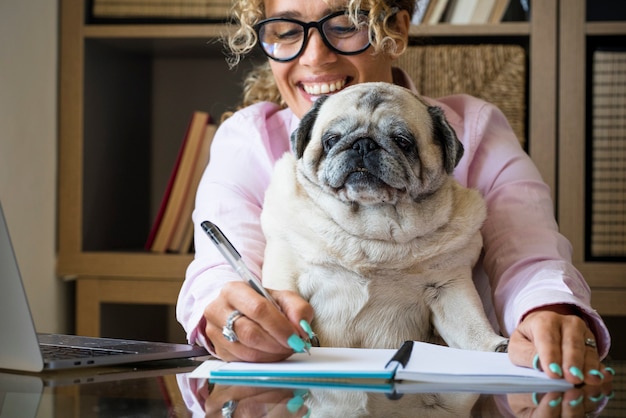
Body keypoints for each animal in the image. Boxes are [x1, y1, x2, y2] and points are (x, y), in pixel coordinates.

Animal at [258, 82, 508, 352]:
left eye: (402, 141)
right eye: (331, 140)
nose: (363, 144)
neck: (371, 226)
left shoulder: (449, 287)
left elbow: (472, 327)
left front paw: (495, 347)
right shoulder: (286, 273)